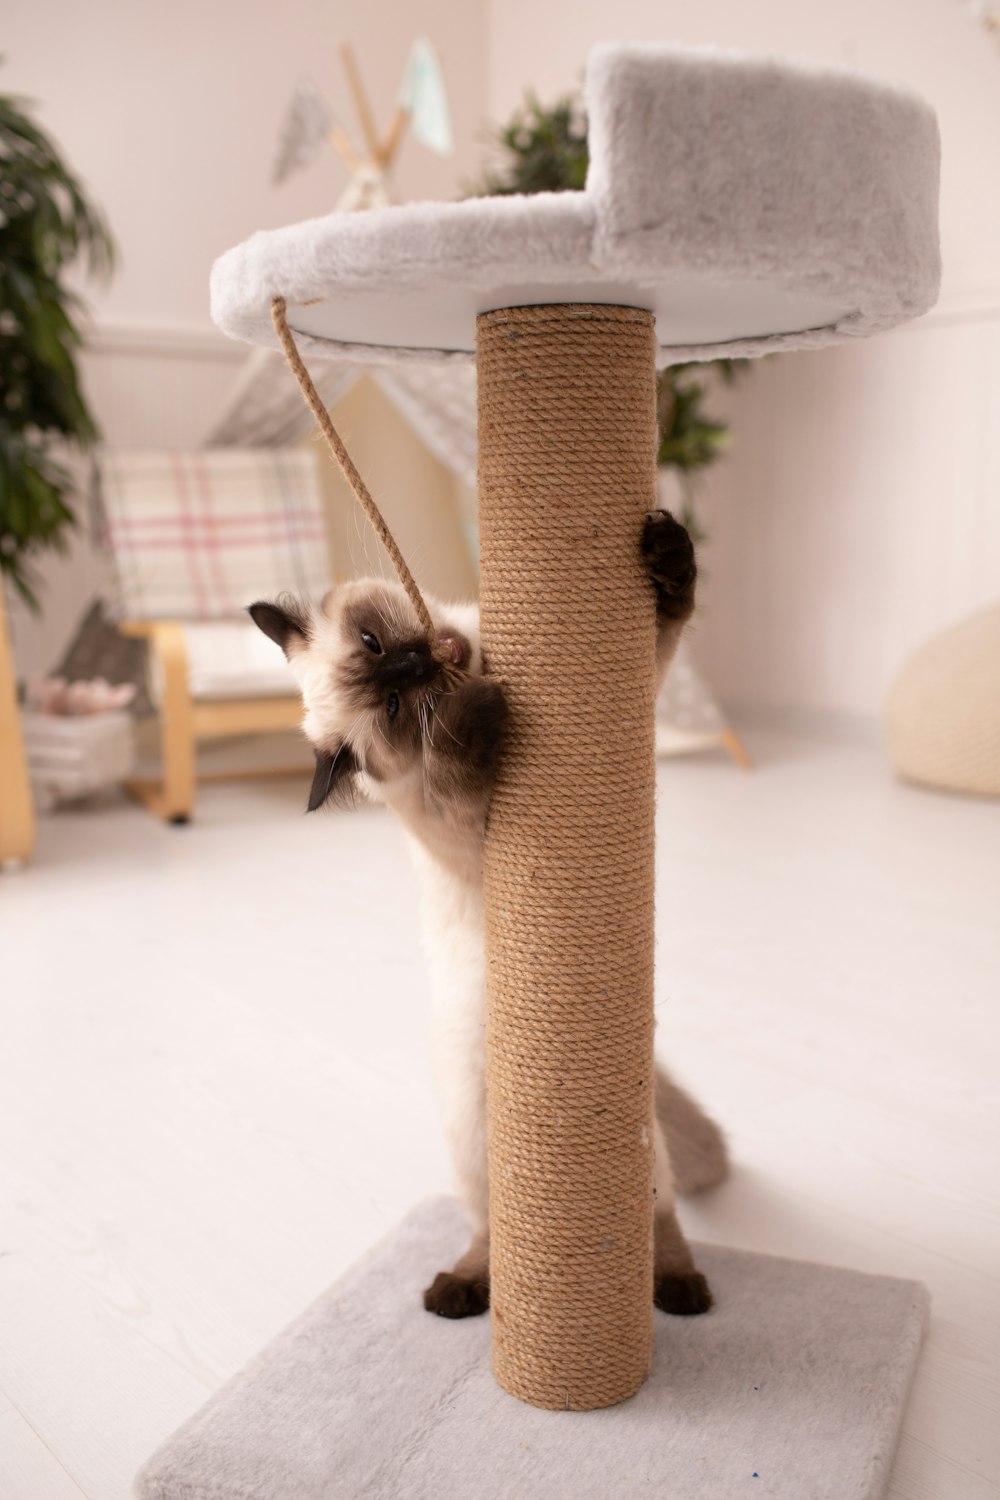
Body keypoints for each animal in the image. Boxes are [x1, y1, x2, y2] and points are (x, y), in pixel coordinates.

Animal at [251, 513, 728, 1326]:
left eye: (375, 644)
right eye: (393, 709)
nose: (415, 663)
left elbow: (671, 615)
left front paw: (668, 551)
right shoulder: (466, 824)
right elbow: (455, 765)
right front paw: (472, 715)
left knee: (656, 1212)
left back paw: (674, 1291)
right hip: (482, 1148)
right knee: (504, 1230)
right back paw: (466, 1294)